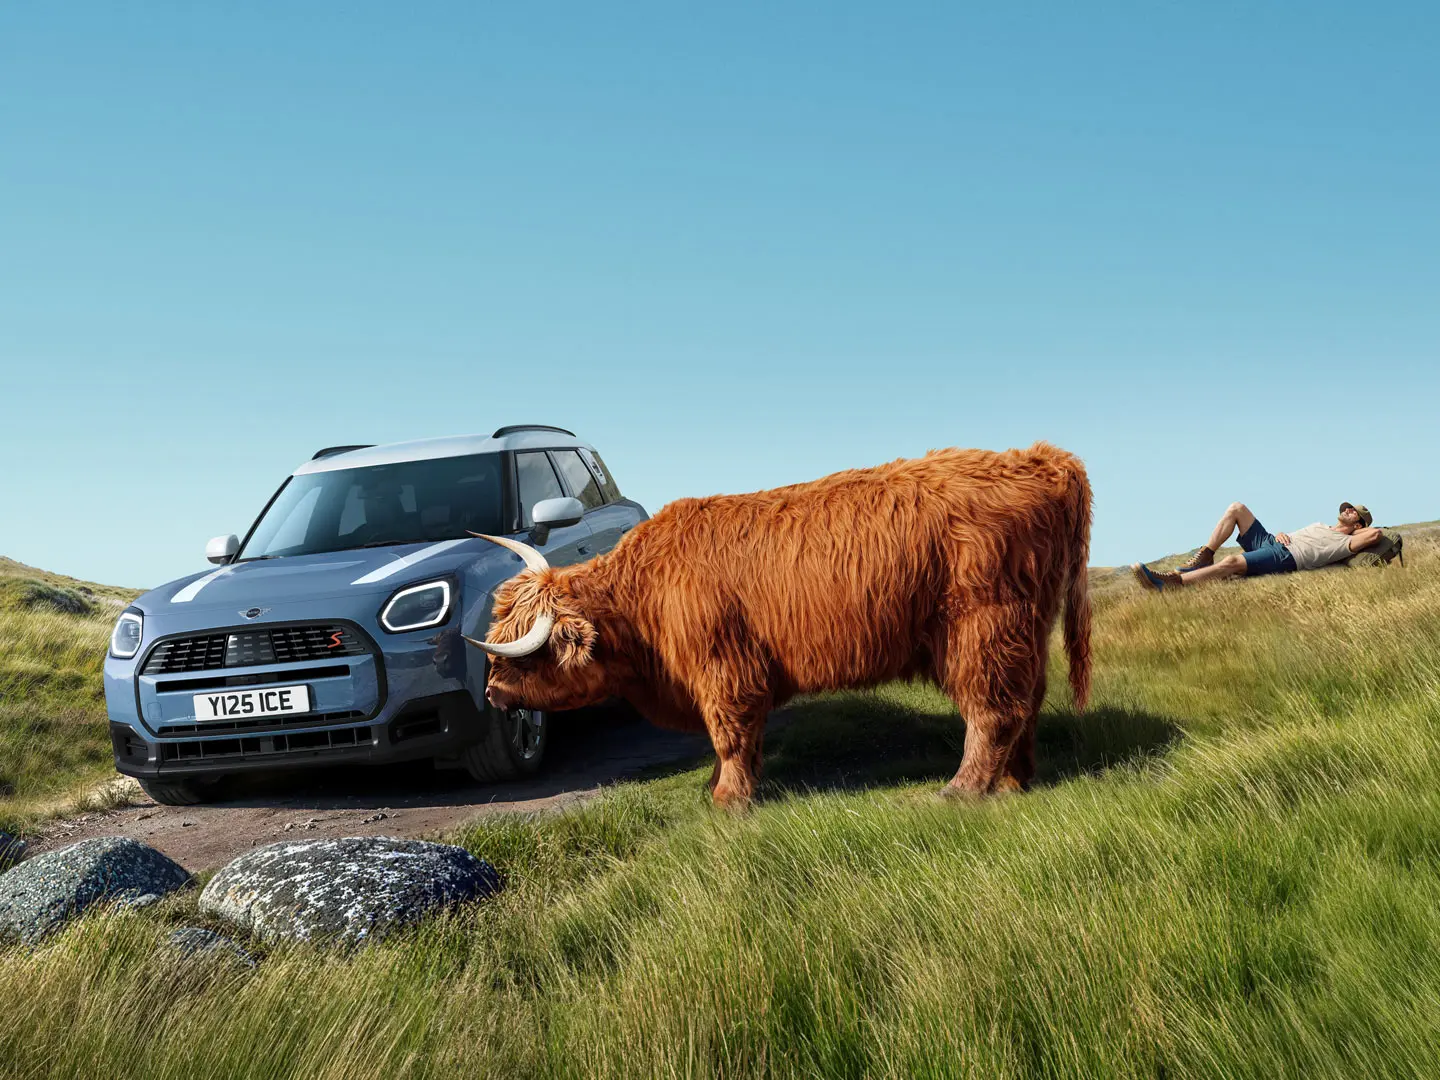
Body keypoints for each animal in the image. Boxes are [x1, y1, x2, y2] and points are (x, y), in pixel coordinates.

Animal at [465, 442, 1092, 808]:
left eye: (524, 654)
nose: (492, 693)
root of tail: (1045, 458)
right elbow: (746, 739)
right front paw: (729, 786)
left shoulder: (723, 668)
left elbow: (730, 735)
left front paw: (727, 798)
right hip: (1024, 630)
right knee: (1027, 701)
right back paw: (1014, 781)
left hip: (980, 626)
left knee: (993, 709)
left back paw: (961, 791)